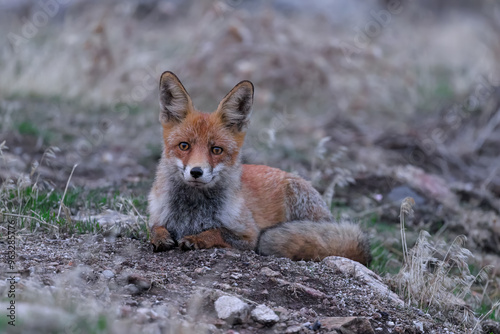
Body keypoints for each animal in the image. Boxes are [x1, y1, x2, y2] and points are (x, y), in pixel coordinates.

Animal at [146, 72, 370, 264]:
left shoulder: (248, 235)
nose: (196, 172)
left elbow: (217, 231)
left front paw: (197, 239)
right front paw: (161, 237)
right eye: (184, 146)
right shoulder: (157, 216)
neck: (191, 213)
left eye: (216, 150)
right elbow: (154, 228)